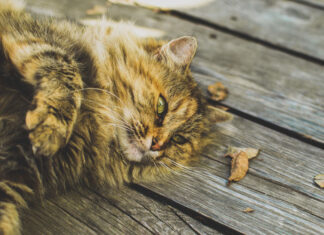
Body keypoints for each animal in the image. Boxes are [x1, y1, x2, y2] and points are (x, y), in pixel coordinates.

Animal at [0, 0, 230, 234]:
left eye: (178, 140)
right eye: (161, 107)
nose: (156, 145)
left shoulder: (13, 168)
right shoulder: (32, 36)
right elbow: (66, 67)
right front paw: (50, 128)